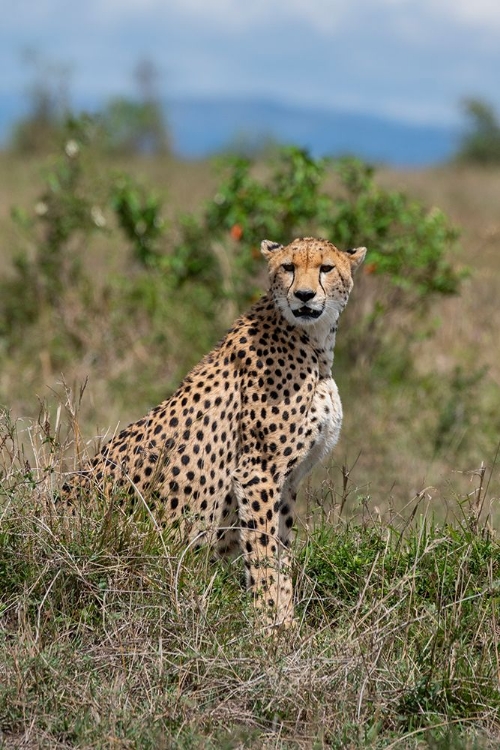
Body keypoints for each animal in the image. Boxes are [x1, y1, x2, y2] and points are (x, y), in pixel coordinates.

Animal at [66, 238, 366, 624]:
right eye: (288, 267)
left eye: (326, 268)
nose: (303, 295)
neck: (313, 343)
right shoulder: (257, 473)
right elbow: (263, 555)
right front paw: (267, 626)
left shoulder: (287, 481)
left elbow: (280, 553)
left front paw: (287, 626)